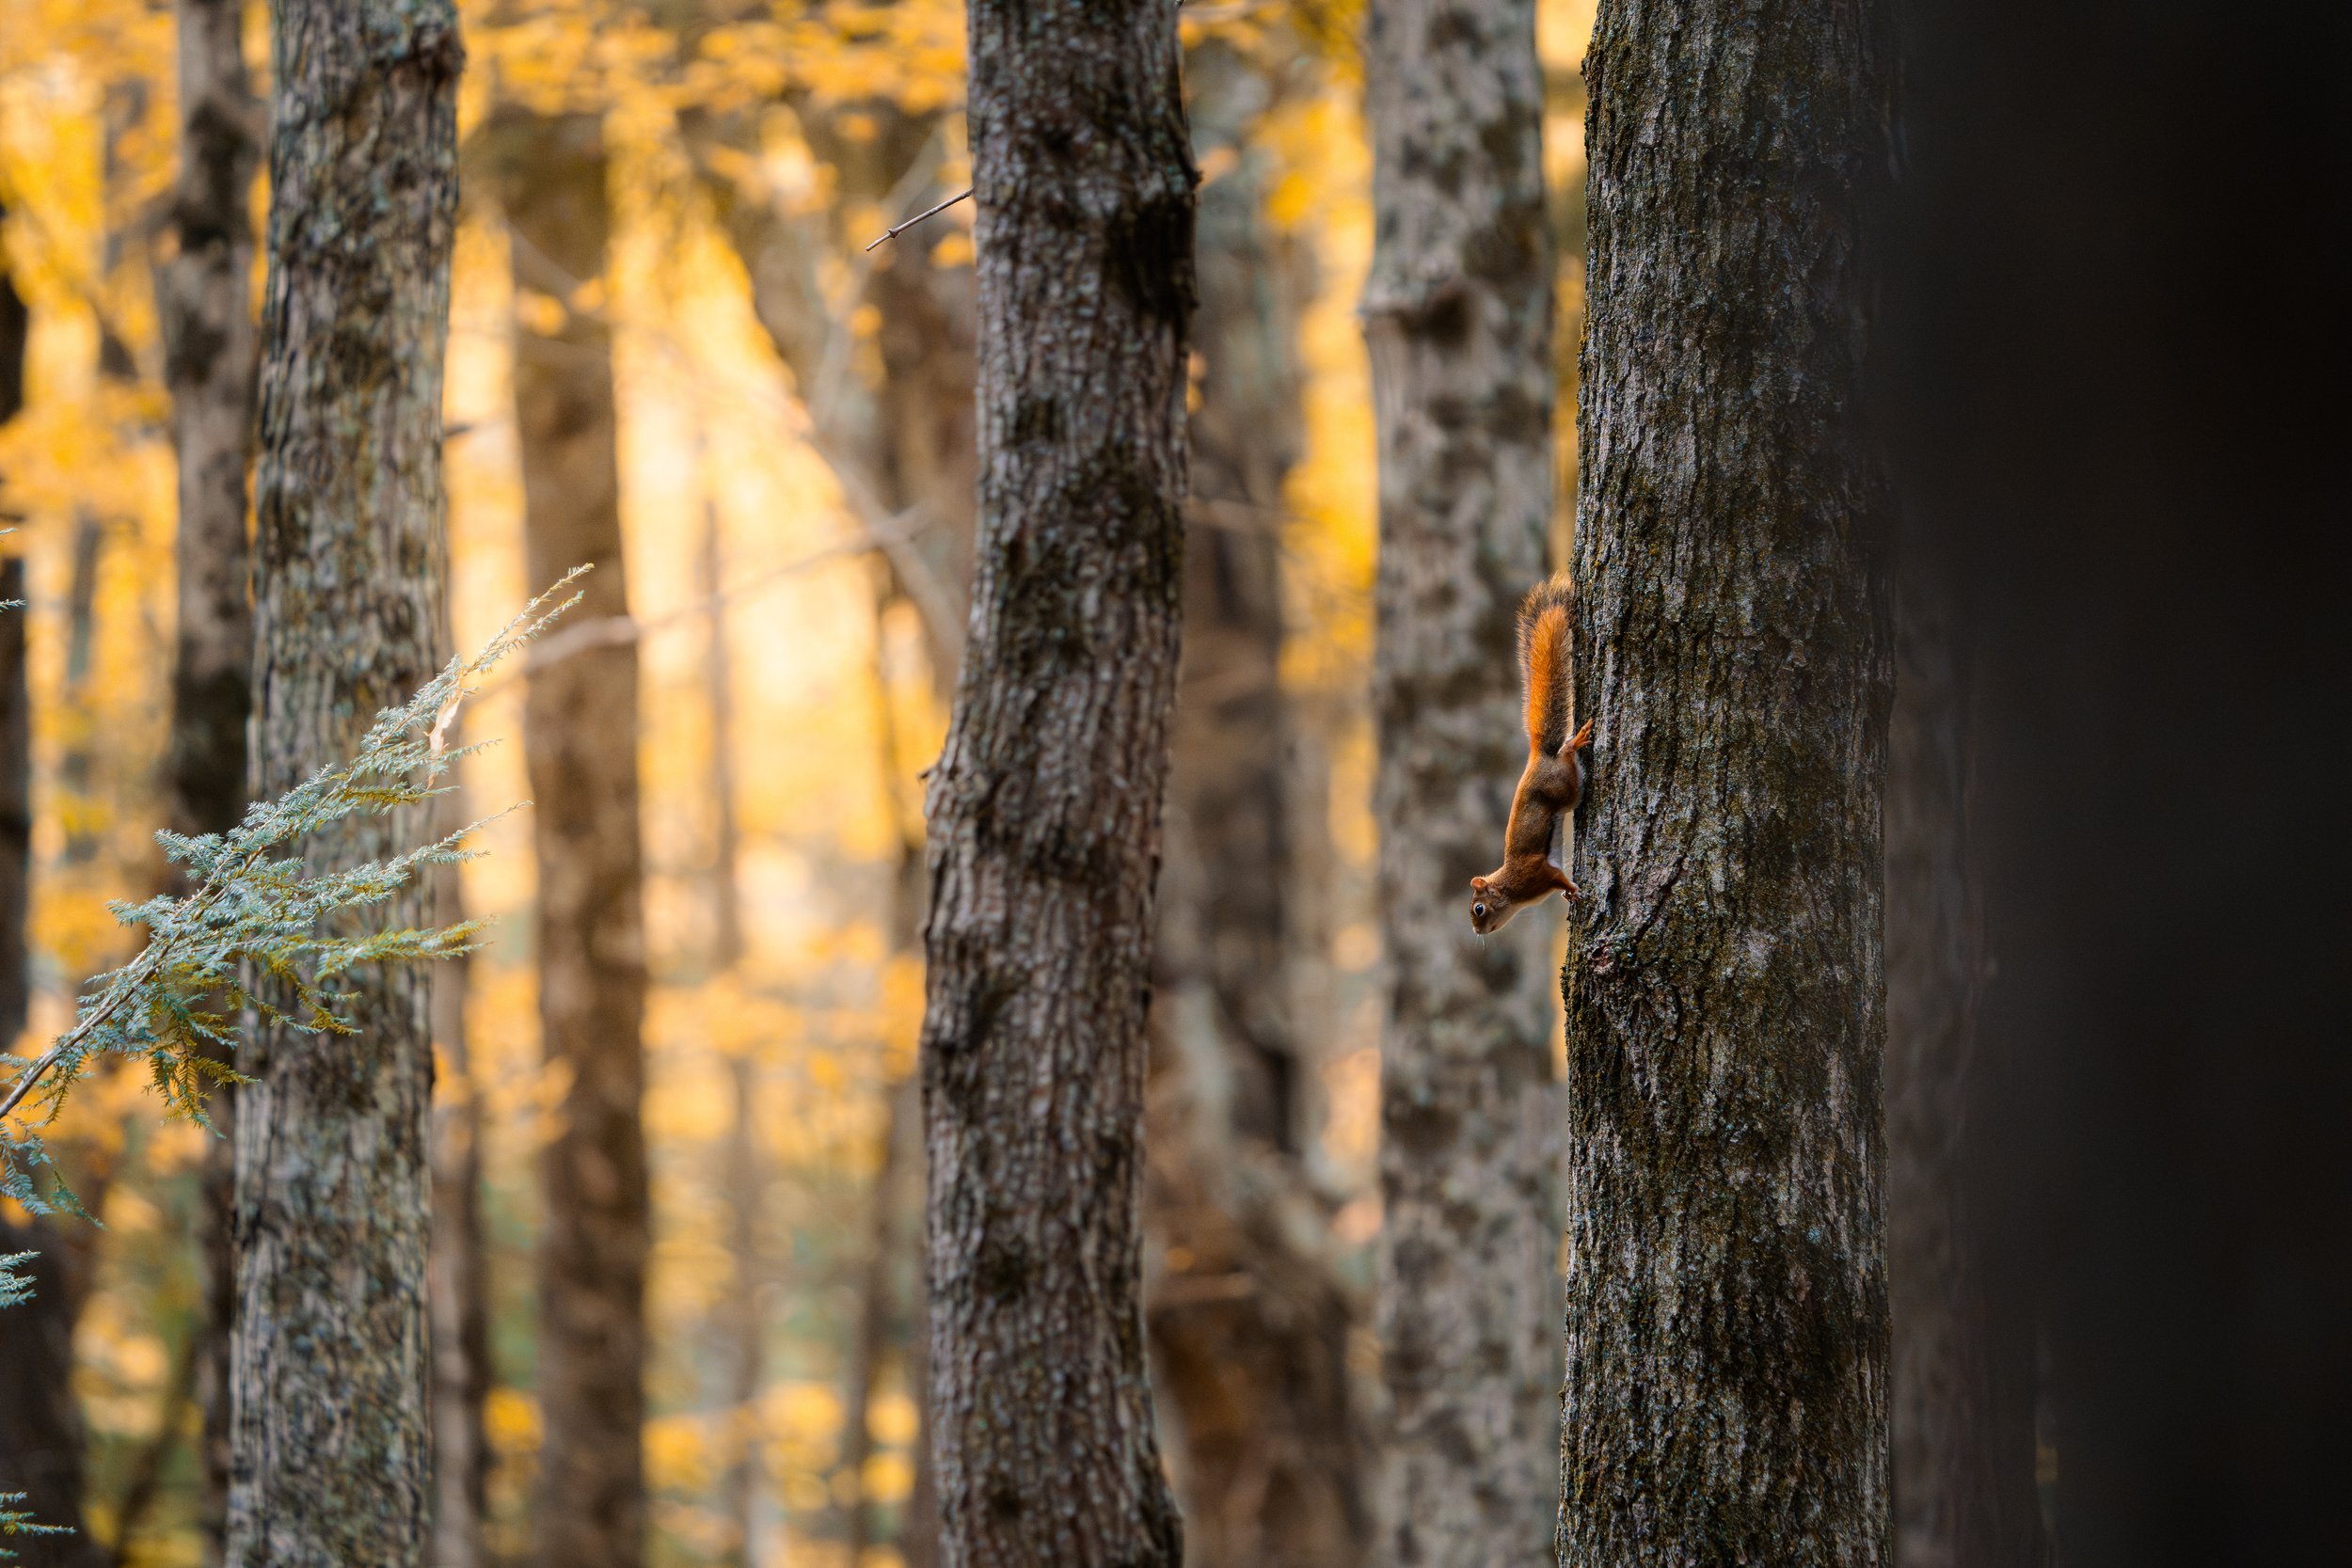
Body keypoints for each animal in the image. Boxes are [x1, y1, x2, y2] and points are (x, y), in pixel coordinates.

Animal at [1470, 572, 1593, 935]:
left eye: (1479, 908)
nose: (1476, 931)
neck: (1510, 889)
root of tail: (1539, 757)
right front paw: (1569, 896)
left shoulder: (1538, 873)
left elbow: (1559, 877)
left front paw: (1574, 891)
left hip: (1563, 789)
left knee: (1568, 762)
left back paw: (1574, 743)